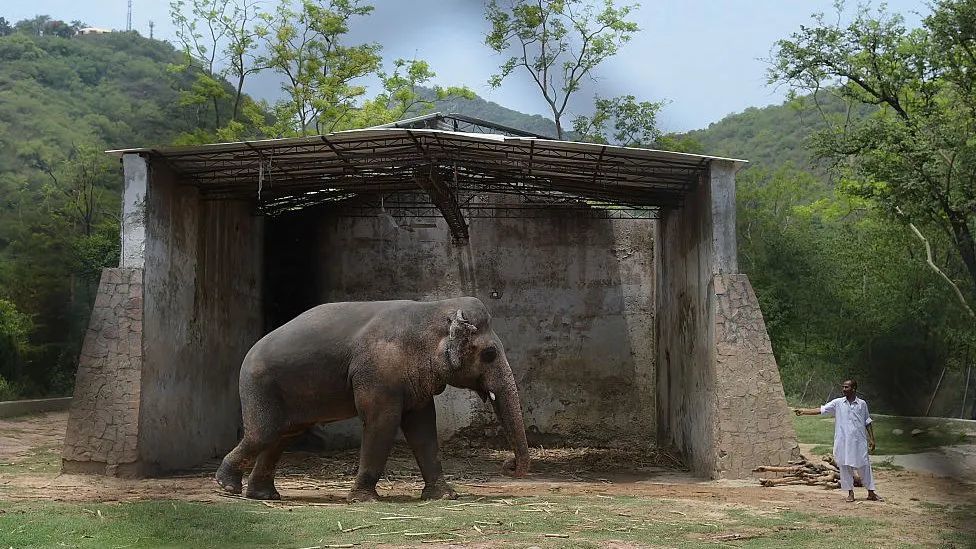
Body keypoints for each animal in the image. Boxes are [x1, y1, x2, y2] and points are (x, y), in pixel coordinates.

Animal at [216, 296, 528, 500]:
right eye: (490, 354)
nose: (508, 465)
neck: (433, 309)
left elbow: (423, 426)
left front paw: (444, 496)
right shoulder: (379, 372)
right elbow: (382, 422)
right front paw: (364, 499)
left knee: (283, 435)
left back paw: (262, 495)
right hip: (260, 386)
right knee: (264, 433)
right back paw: (227, 487)